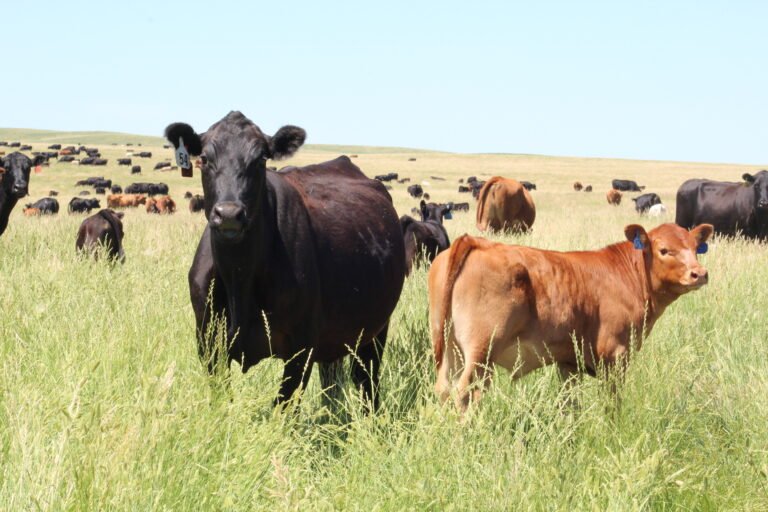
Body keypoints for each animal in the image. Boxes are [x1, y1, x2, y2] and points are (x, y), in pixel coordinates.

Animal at [164, 110, 406, 409]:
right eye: (205, 159)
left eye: (260, 159)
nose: (229, 214)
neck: (239, 278)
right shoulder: (209, 344)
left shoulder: (301, 349)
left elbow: (283, 408)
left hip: (375, 329)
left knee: (367, 381)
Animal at [428, 222, 714, 411]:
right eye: (664, 250)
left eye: (695, 248)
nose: (700, 273)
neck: (628, 275)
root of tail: (476, 242)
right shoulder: (615, 354)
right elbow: (612, 403)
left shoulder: (569, 363)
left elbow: (570, 404)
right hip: (481, 351)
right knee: (465, 393)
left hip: (450, 348)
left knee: (444, 390)